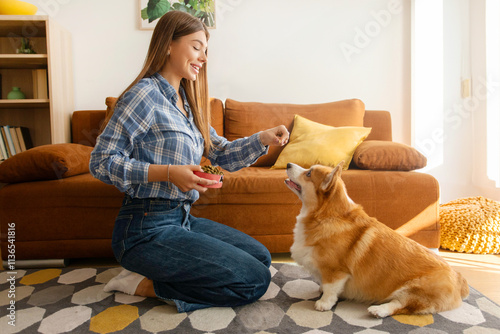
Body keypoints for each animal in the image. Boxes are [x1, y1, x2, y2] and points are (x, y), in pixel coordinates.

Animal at [286, 163, 468, 318]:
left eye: (308, 173)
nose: (288, 164)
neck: (326, 216)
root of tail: (459, 278)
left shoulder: (336, 271)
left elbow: (331, 289)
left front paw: (323, 303)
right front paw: (320, 290)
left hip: (416, 290)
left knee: (401, 305)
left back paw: (378, 310)